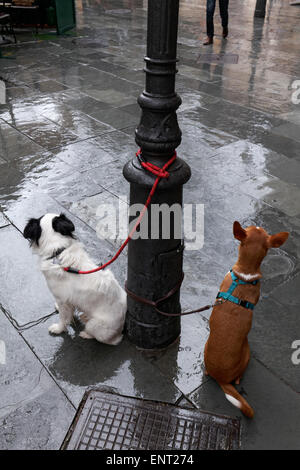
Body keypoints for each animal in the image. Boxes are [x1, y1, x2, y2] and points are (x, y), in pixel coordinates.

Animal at [23, 213, 126, 346]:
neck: (57, 251)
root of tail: (123, 325)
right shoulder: (69, 301)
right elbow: (70, 312)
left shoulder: (62, 299)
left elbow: (63, 317)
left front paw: (58, 329)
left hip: (95, 325)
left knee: (110, 340)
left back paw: (86, 334)